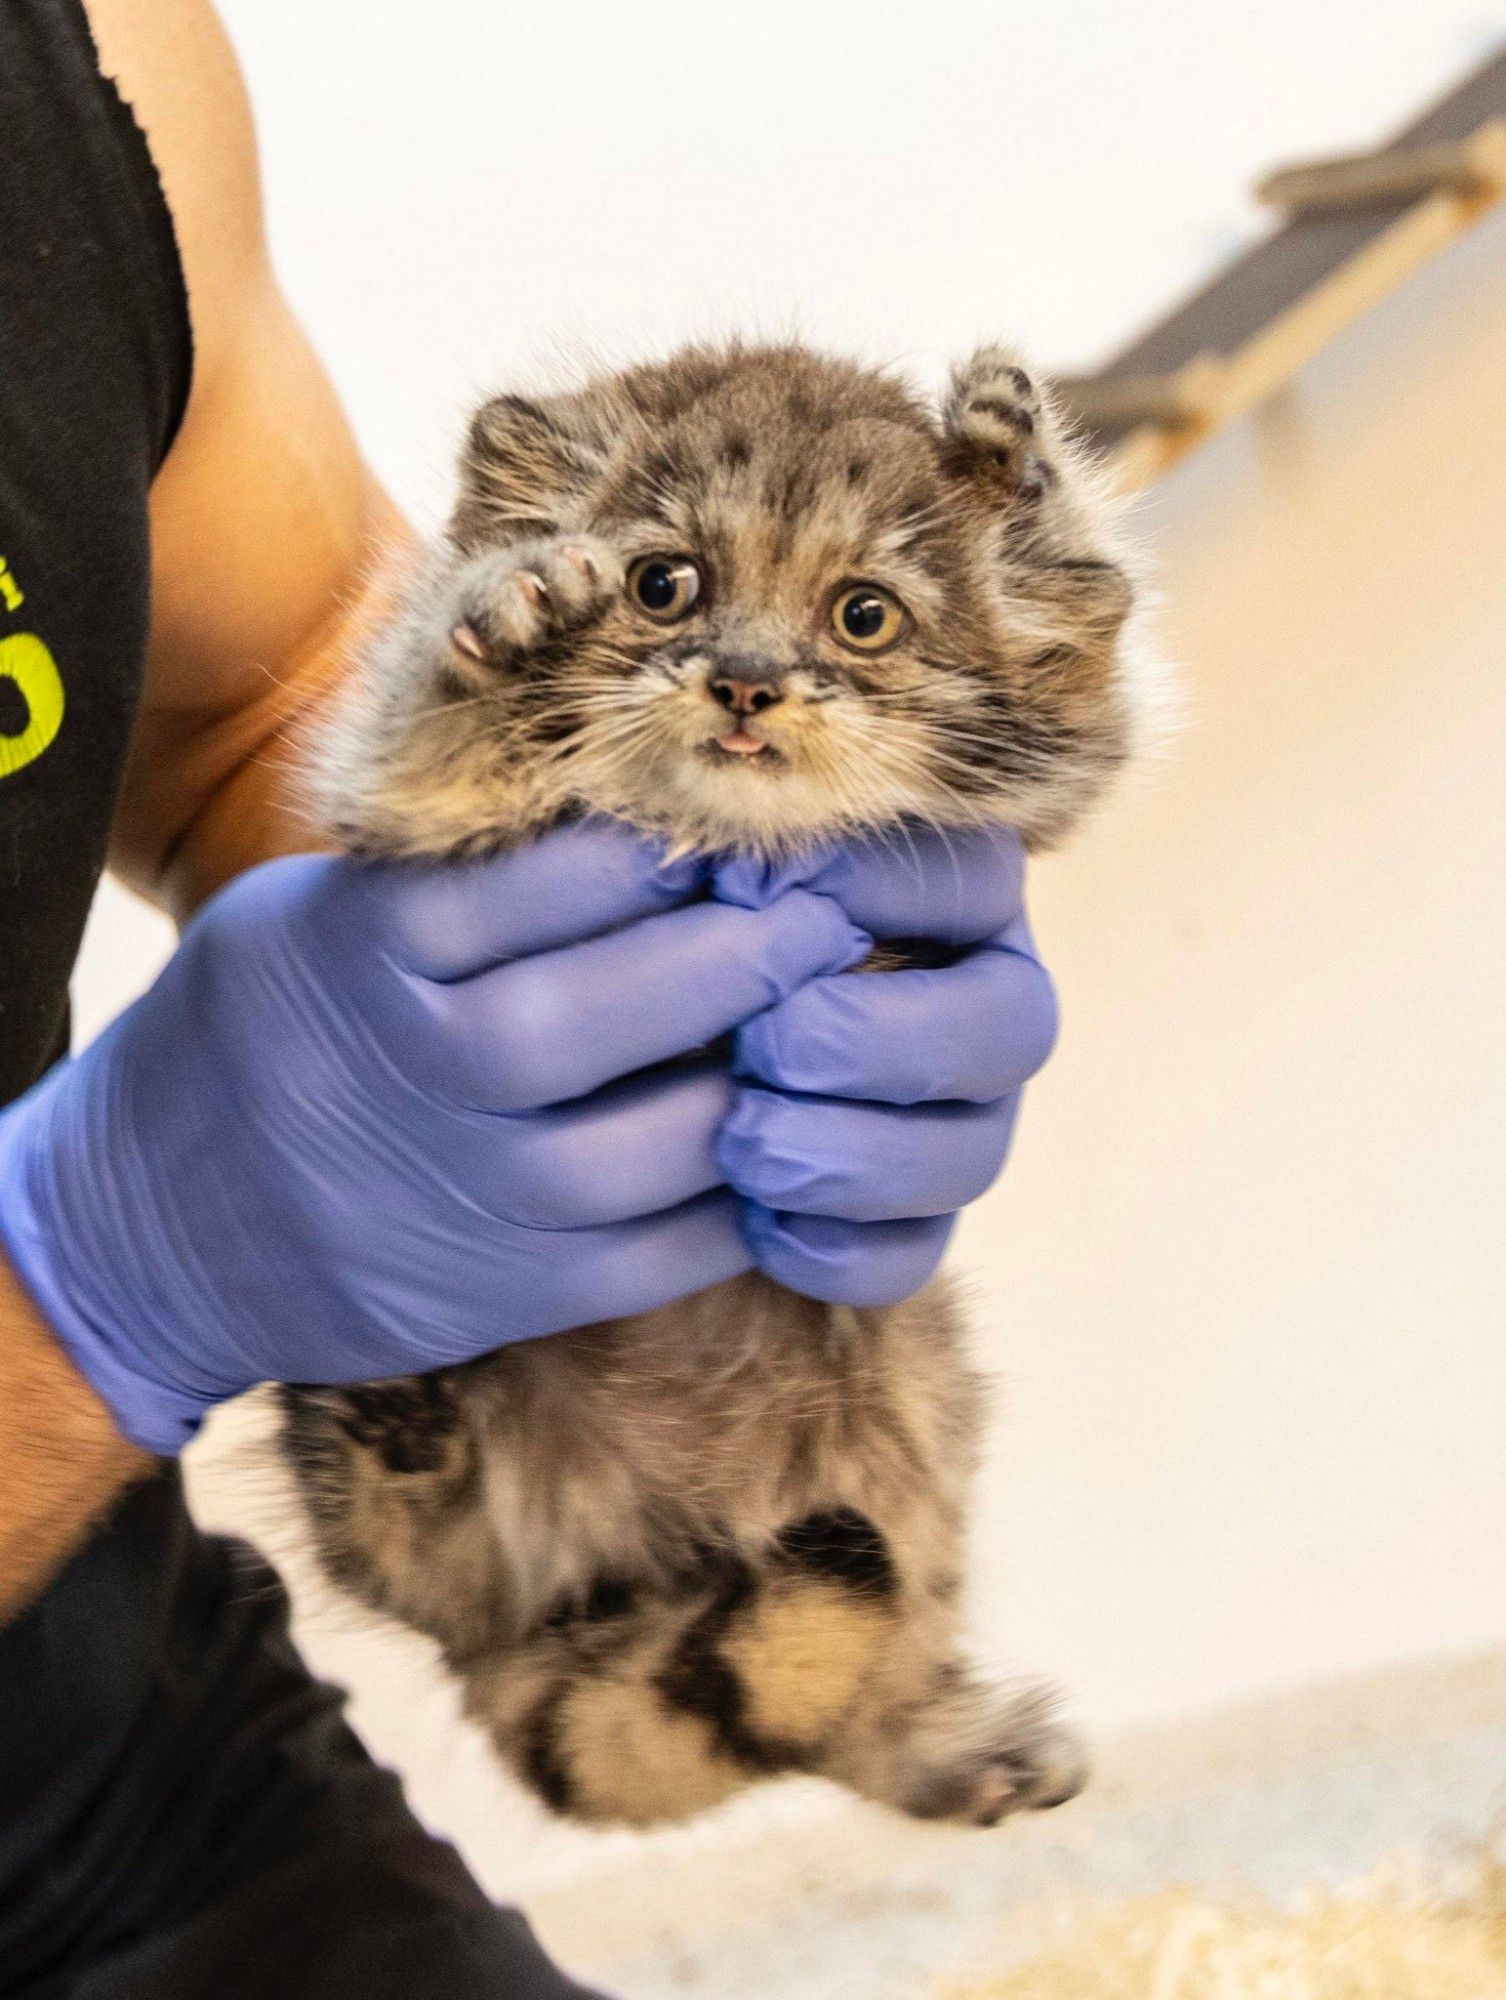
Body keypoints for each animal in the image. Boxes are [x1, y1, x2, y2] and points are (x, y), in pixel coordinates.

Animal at [282, 344, 1144, 1832]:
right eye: (662, 585)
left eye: (864, 616)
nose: (745, 682)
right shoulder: (402, 795)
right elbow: (421, 734)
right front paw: (508, 623)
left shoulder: (1061, 736)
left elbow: (1088, 630)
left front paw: (1015, 454)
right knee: (422, 1548)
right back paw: (402, 1424)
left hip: (909, 1399)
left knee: (854, 1664)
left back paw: (934, 1740)